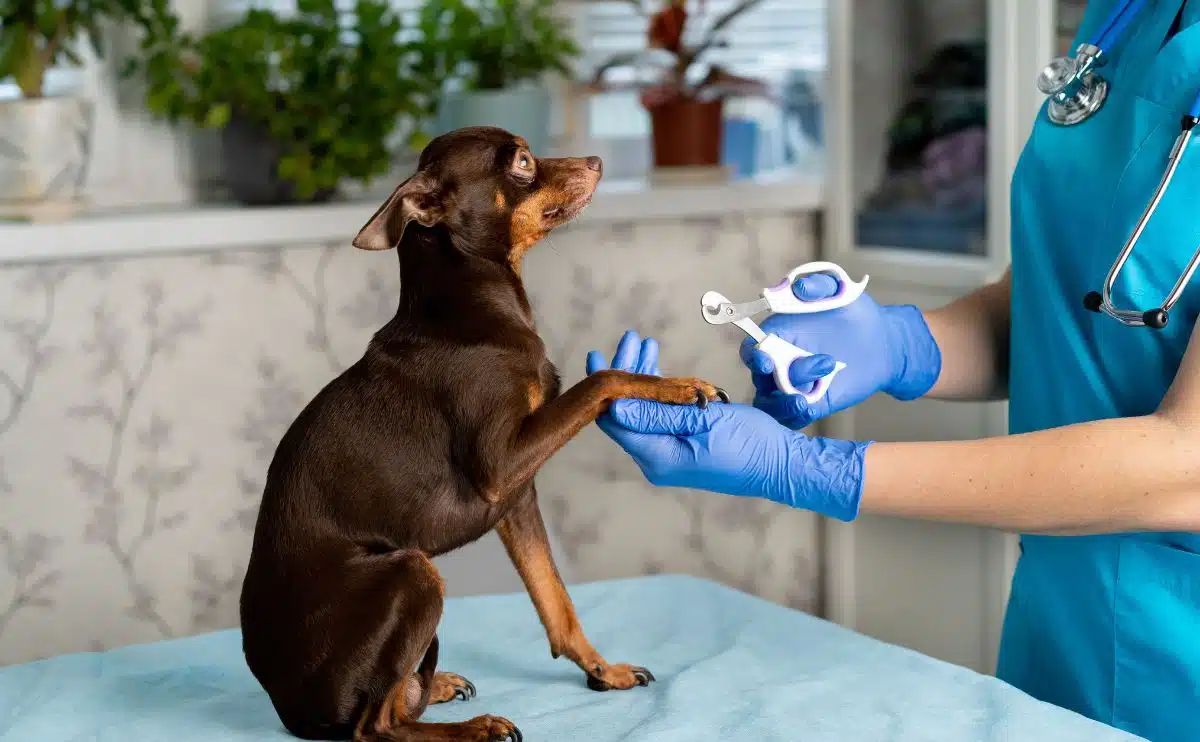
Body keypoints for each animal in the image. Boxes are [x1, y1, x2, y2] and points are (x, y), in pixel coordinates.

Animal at [234, 127, 720, 739]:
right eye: (522, 161)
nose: (597, 159)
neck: (475, 309)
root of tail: (290, 710)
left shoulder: (517, 498)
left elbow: (555, 599)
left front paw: (602, 671)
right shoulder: (501, 468)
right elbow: (603, 379)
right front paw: (677, 386)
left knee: (392, 701)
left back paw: (433, 686)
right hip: (413, 571)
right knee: (375, 726)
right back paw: (471, 726)